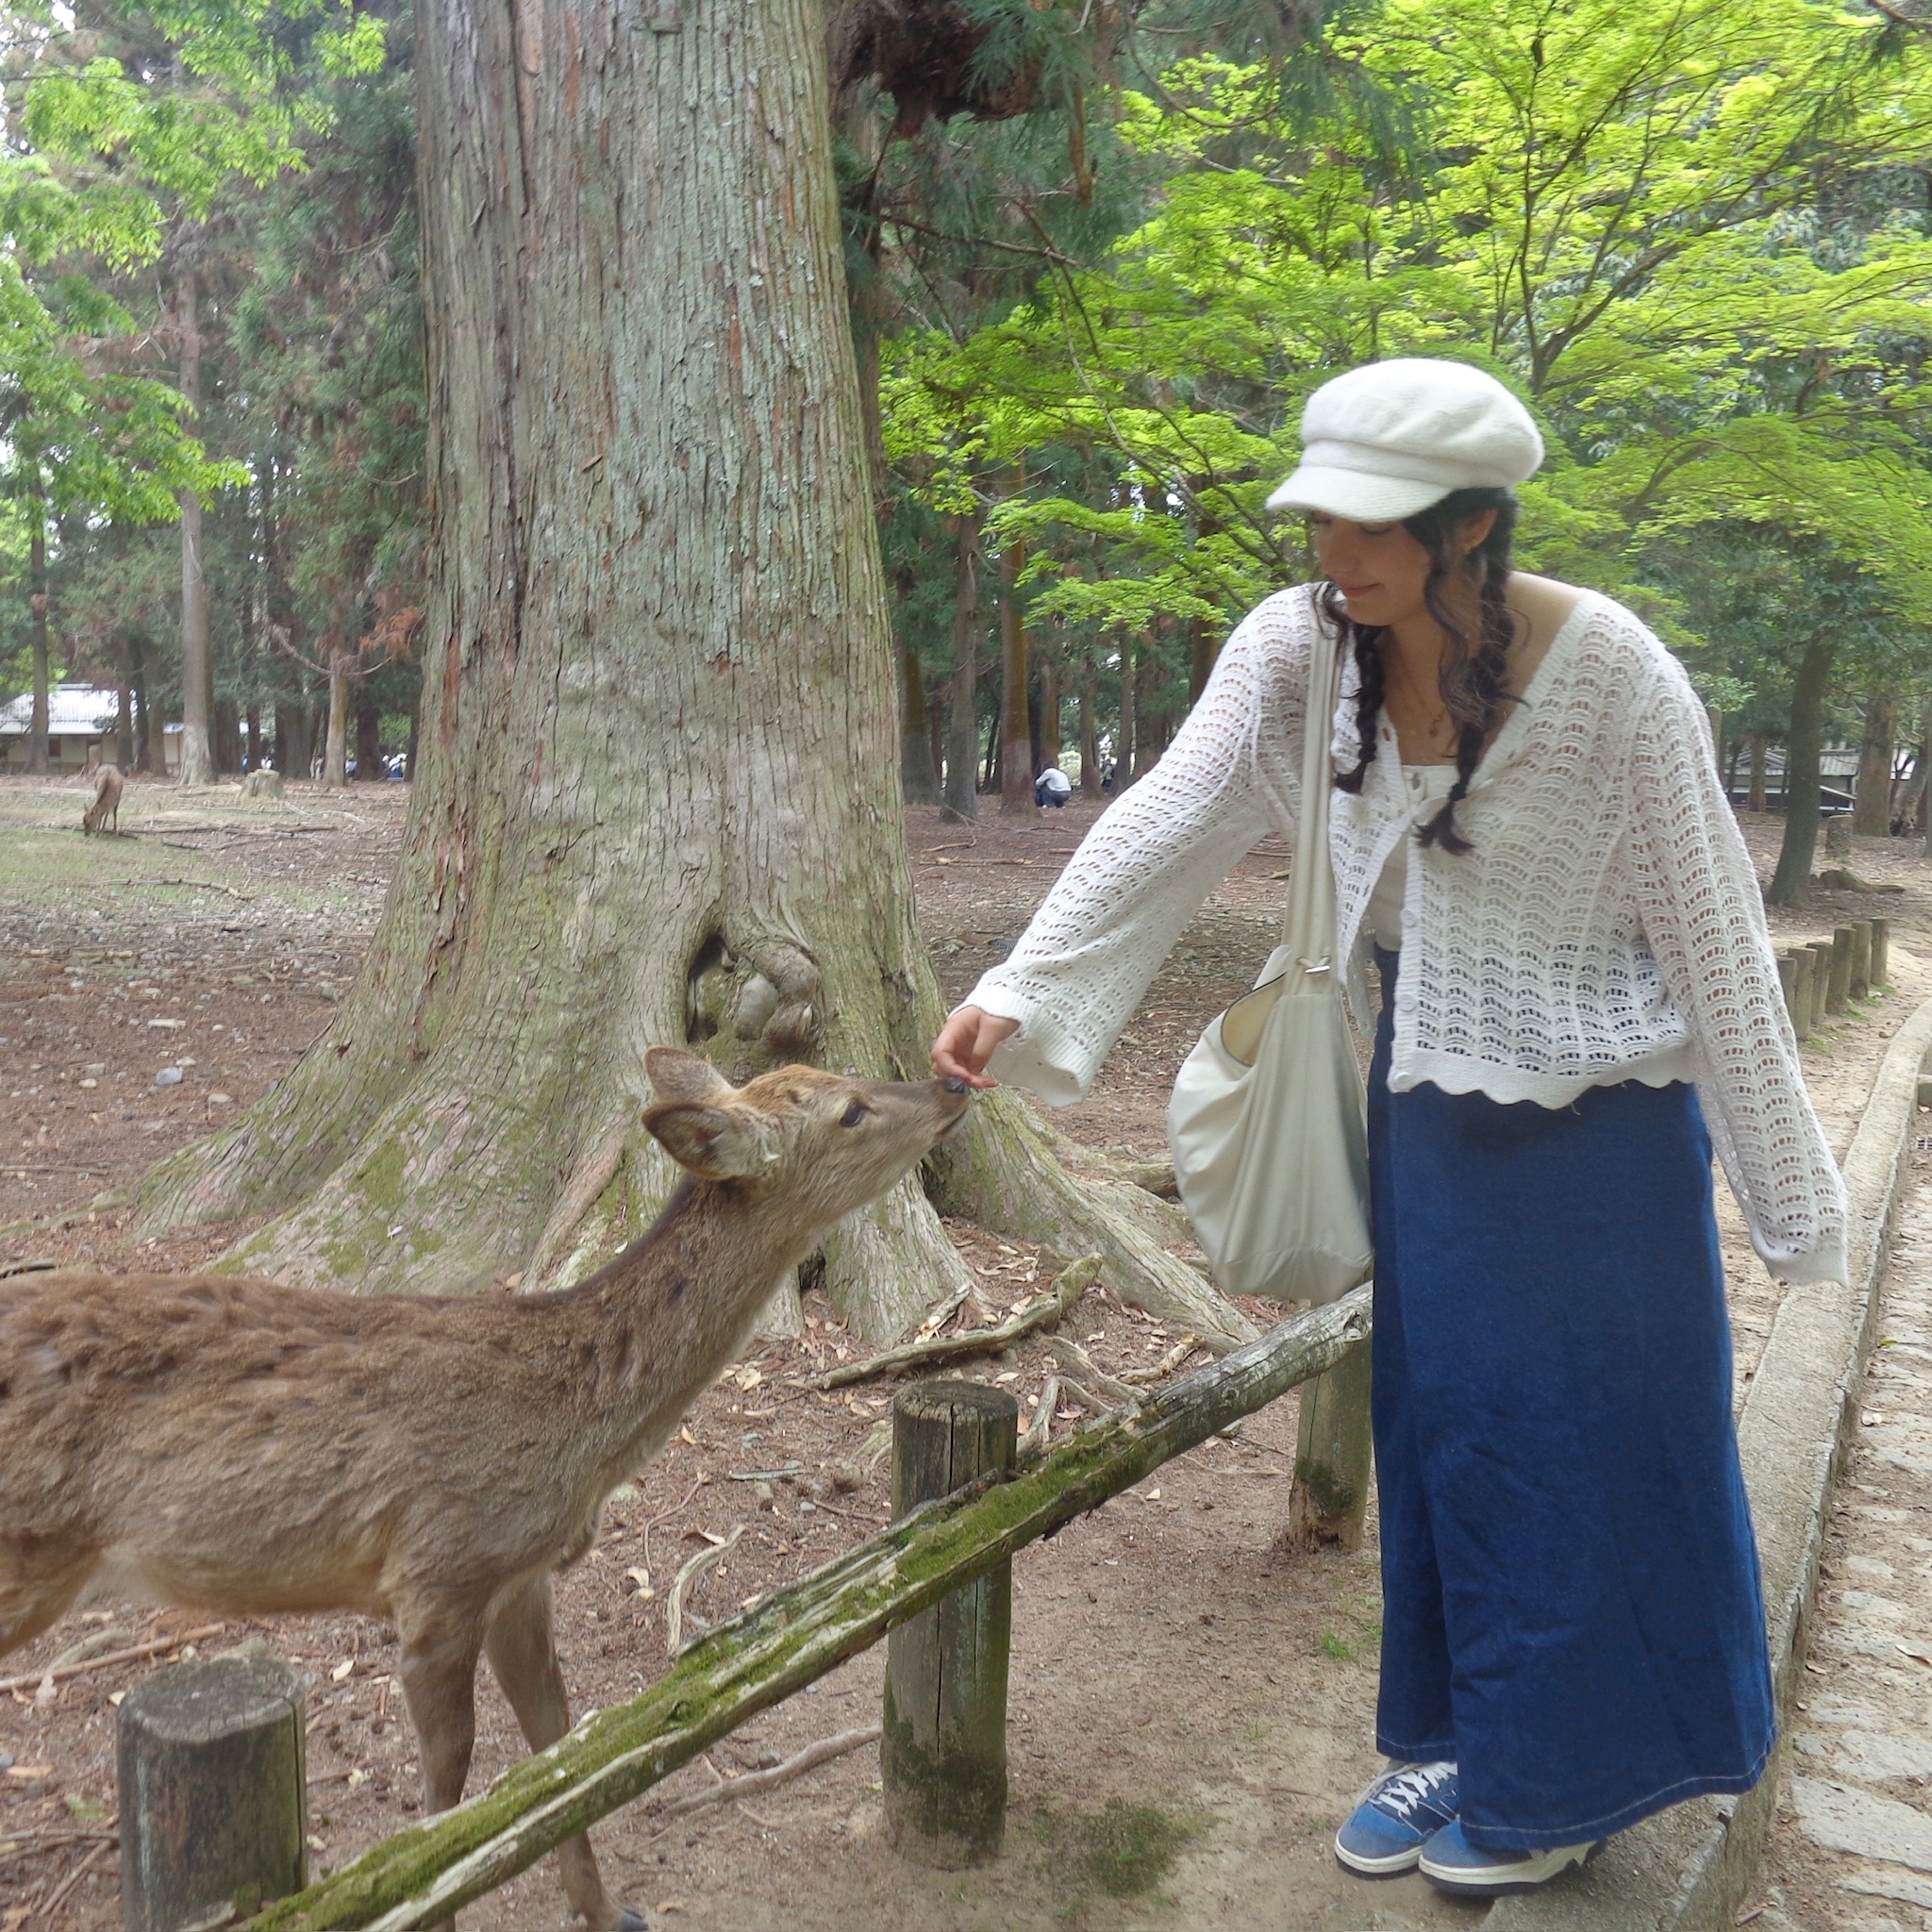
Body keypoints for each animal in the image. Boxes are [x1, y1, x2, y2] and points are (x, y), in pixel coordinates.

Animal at [0, 1050, 972, 1931]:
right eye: (849, 1110)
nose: (951, 1084)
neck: (576, 1438)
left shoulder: (520, 1578)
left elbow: (558, 1743)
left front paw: (606, 1909)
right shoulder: (439, 1570)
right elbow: (447, 1794)